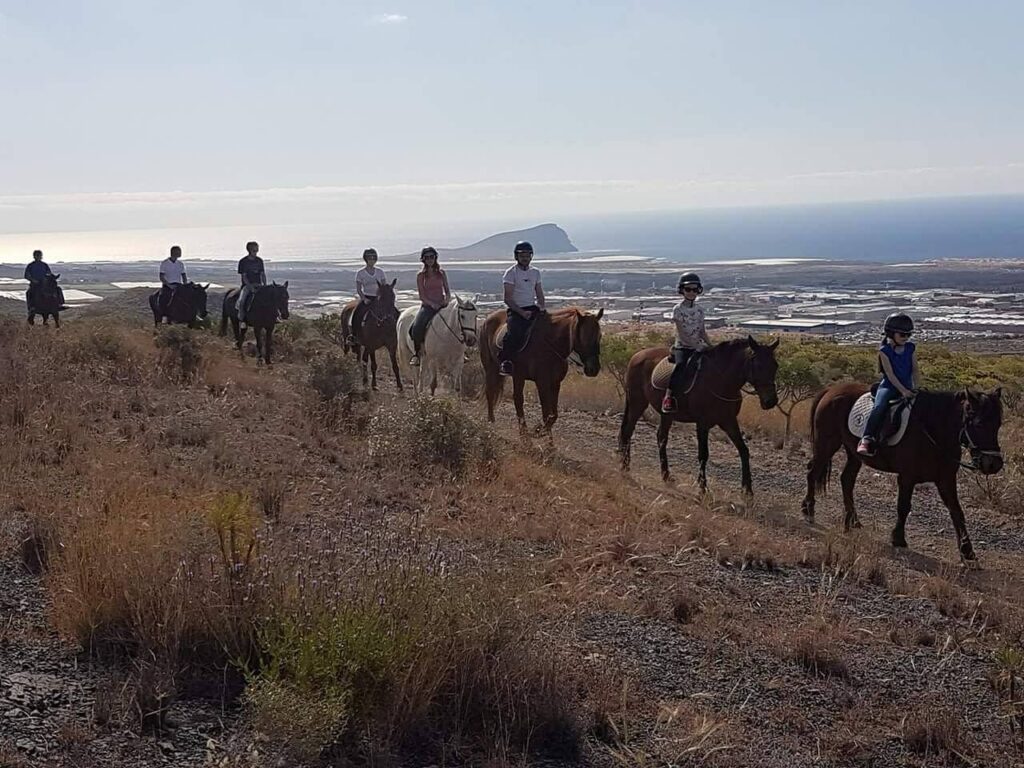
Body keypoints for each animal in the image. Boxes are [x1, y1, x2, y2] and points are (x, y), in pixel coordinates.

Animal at [614, 335, 782, 493]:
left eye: (775, 365)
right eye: (758, 365)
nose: (770, 401)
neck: (720, 380)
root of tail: (637, 355)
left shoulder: (728, 421)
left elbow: (744, 451)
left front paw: (747, 491)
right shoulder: (702, 424)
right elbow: (703, 455)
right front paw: (703, 489)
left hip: (666, 414)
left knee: (661, 437)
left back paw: (666, 475)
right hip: (637, 403)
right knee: (628, 431)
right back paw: (625, 467)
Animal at [798, 382, 999, 561]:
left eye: (997, 425)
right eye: (979, 424)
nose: (994, 464)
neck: (931, 428)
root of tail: (830, 390)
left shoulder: (946, 480)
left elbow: (957, 512)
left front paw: (967, 552)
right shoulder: (907, 477)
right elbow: (903, 506)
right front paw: (898, 538)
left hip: (853, 453)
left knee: (846, 480)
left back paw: (852, 520)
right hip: (827, 444)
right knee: (812, 472)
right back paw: (808, 510)